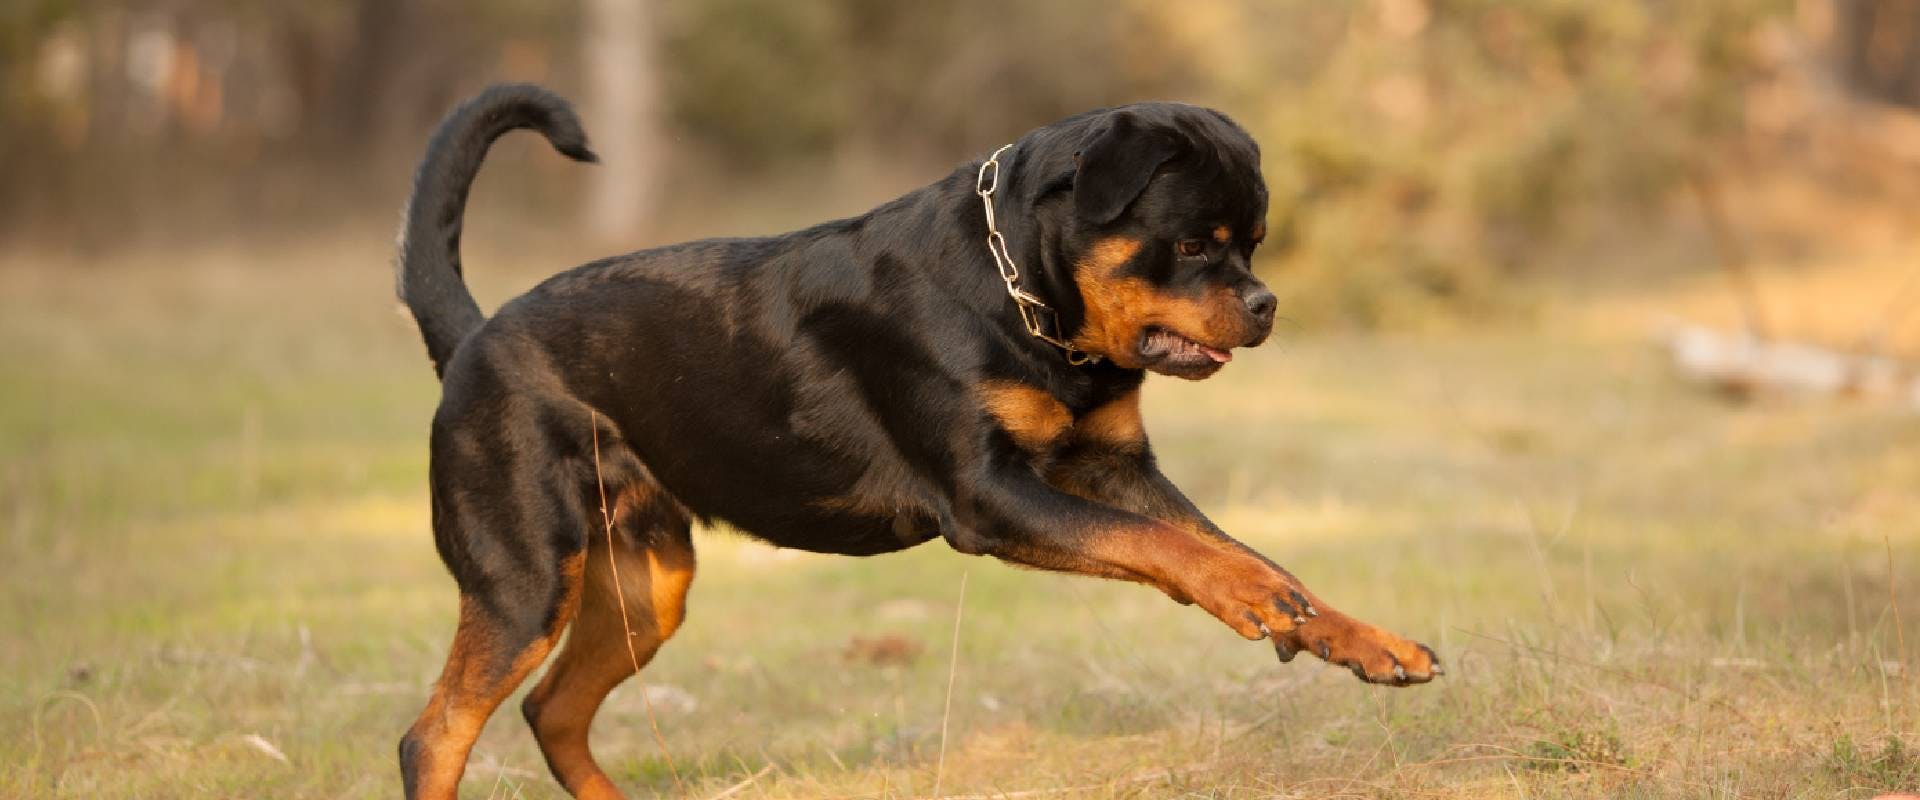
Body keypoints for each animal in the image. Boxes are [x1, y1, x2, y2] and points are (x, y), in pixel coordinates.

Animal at [393, 82, 1443, 798]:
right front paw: (1254, 600)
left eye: (1254, 242)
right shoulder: (991, 495)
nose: (1267, 304)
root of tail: (470, 339)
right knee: (436, 735)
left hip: (647, 583)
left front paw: (1360, 637)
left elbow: (1229, 543)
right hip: (529, 577)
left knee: (552, 709)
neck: (1028, 302)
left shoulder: (1111, 467)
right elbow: (1172, 548)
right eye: (1190, 244)